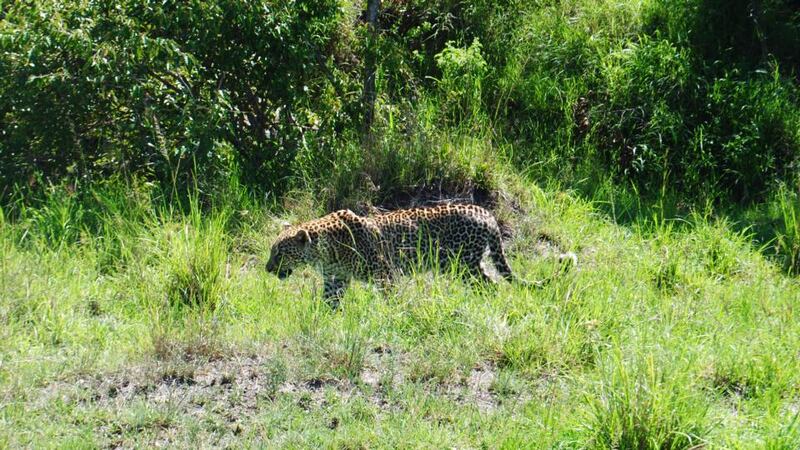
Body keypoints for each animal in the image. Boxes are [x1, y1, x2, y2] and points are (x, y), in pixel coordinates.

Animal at [265, 204, 575, 307]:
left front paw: (394, 314)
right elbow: (328, 304)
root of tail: (487, 214)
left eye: (279, 252)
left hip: (462, 264)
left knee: (490, 284)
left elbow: (391, 297)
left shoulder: (384, 272)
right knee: (489, 280)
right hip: (469, 264)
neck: (323, 251)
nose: (267, 269)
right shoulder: (335, 280)